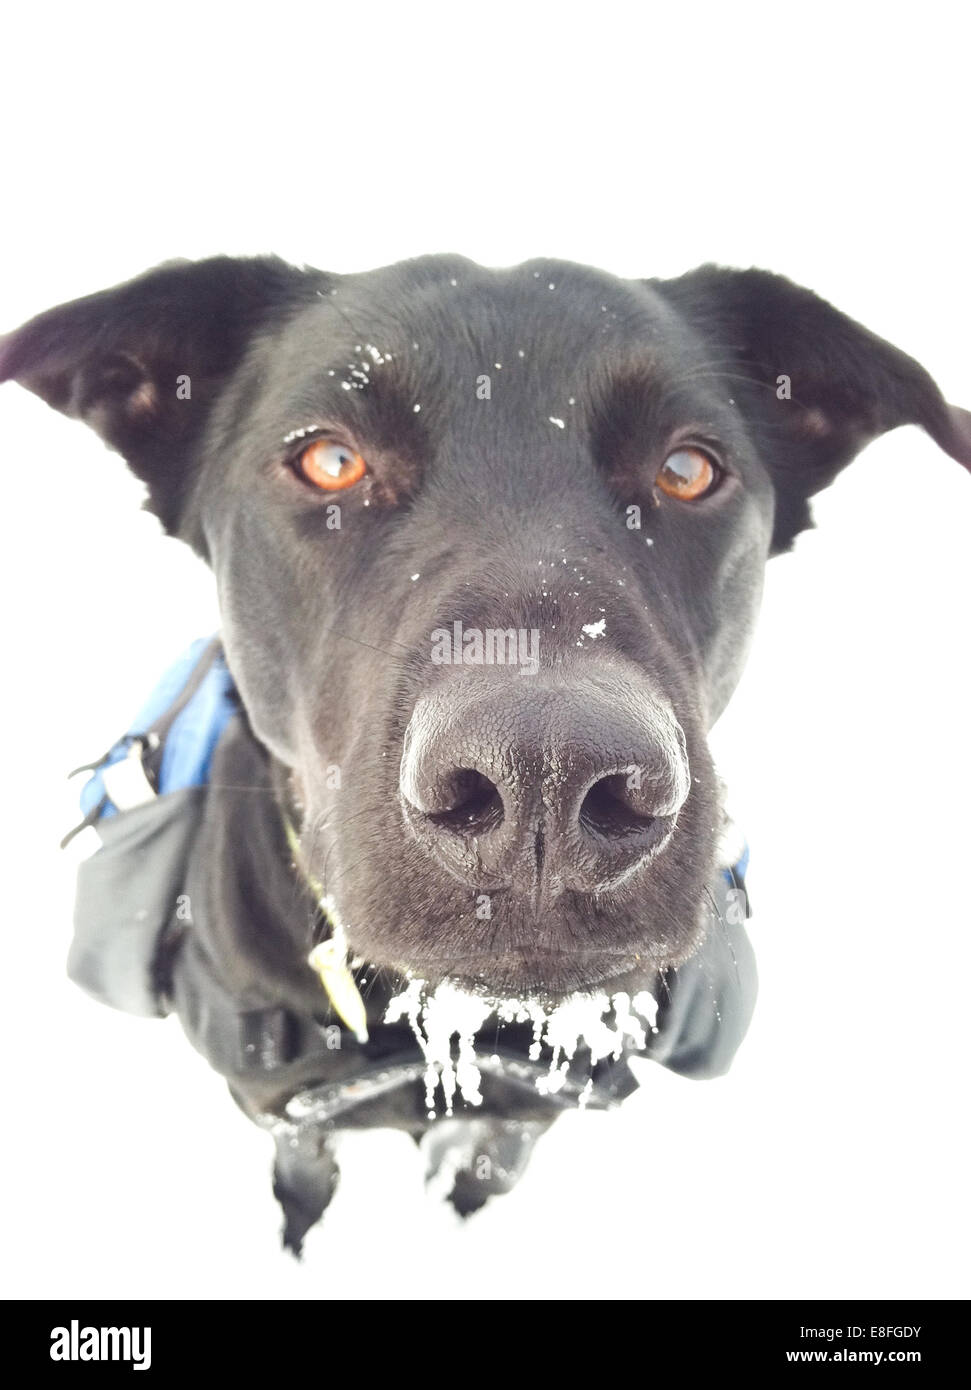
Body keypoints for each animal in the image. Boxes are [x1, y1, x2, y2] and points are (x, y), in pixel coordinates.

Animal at [3, 255, 966, 1256]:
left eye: (688, 469)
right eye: (329, 459)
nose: (546, 771)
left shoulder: (527, 1109)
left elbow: (481, 1168)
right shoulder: (284, 1108)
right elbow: (304, 1177)